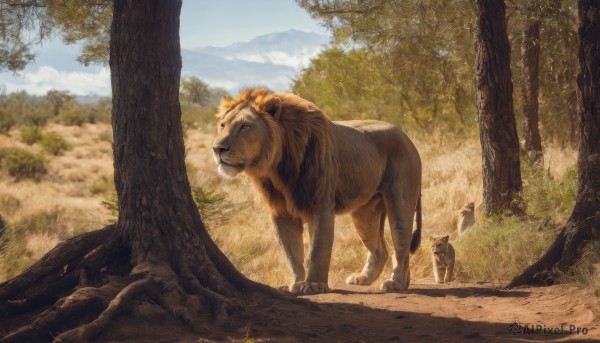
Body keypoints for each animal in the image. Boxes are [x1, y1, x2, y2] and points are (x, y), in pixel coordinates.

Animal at [212, 88, 422, 296]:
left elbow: (317, 249)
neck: (277, 168)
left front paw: (314, 284)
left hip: (400, 202)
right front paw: (296, 282)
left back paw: (396, 282)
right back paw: (364, 278)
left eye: (245, 126)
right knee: (380, 249)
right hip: (365, 214)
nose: (217, 148)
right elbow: (291, 252)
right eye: (222, 125)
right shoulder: (281, 212)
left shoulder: (320, 204)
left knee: (401, 247)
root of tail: (406, 136)